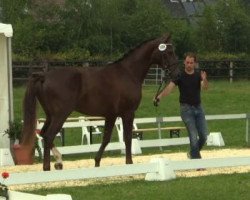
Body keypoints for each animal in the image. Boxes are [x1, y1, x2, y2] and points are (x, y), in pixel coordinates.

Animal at [16, 32, 180, 170]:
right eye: (168, 52)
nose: (176, 73)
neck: (128, 72)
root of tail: (44, 76)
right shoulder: (128, 113)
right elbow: (128, 138)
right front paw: (129, 162)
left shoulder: (111, 115)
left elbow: (106, 138)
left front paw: (97, 162)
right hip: (60, 115)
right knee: (49, 136)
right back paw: (48, 166)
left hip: (50, 115)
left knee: (43, 134)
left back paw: (58, 161)